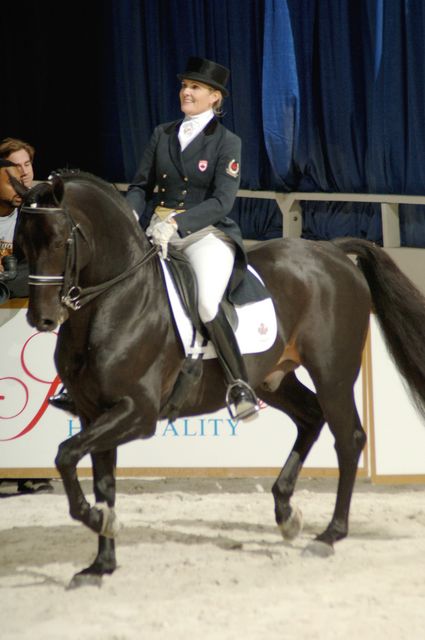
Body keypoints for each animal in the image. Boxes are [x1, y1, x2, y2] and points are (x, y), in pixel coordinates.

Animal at [14, 169, 425, 584]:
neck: (116, 302)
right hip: (272, 379)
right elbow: (101, 480)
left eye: (58, 240)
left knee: (349, 438)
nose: (41, 319)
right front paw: (101, 562)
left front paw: (99, 521)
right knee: (311, 417)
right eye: (22, 244)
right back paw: (286, 513)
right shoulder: (92, 413)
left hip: (333, 373)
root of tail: (333, 252)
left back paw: (329, 535)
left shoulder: (138, 413)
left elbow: (66, 455)